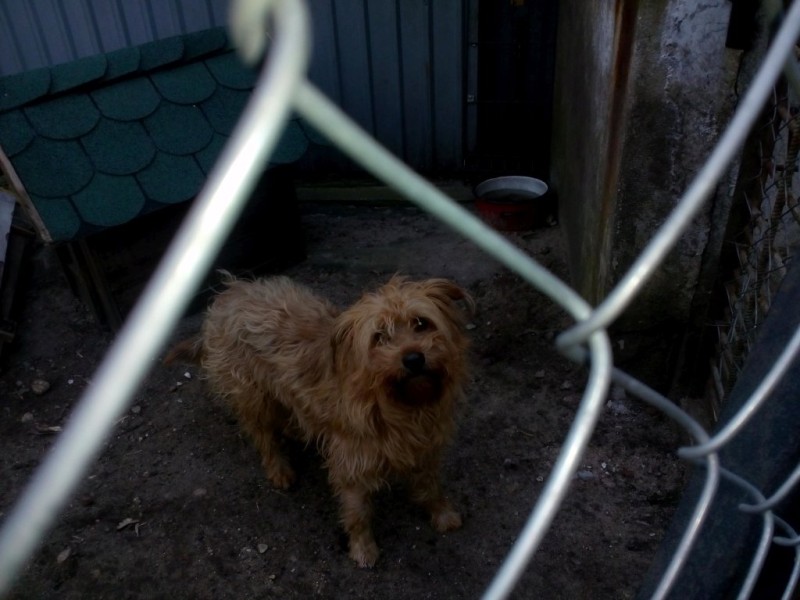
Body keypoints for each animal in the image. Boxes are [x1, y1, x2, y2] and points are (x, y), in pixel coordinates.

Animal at [165, 273, 474, 567]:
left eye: (422, 323)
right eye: (379, 336)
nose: (413, 359)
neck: (397, 403)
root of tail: (230, 292)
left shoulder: (426, 448)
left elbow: (431, 487)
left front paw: (442, 514)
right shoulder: (351, 464)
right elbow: (357, 513)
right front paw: (363, 549)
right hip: (253, 396)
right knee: (263, 436)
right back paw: (279, 468)